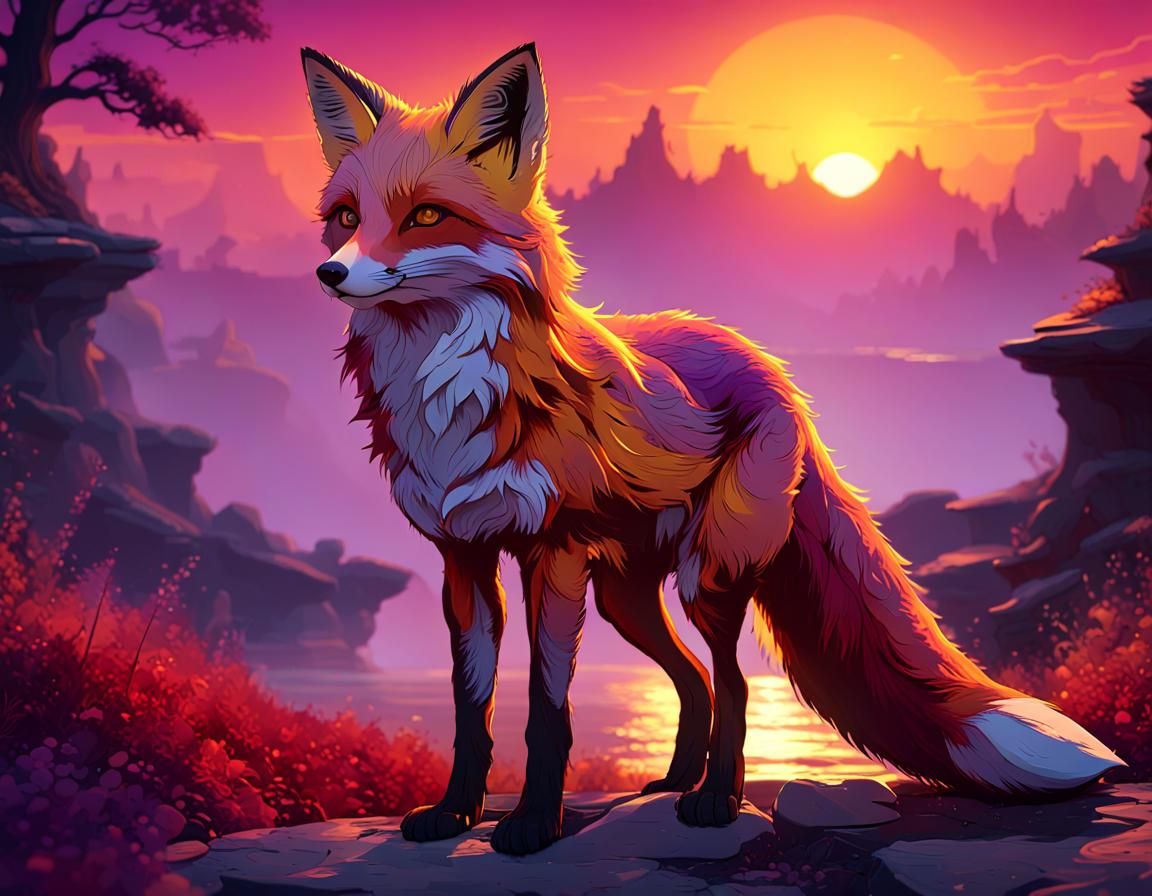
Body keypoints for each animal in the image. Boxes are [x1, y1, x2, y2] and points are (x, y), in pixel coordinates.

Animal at [300, 43, 1124, 855]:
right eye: (346, 217)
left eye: (426, 215)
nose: (329, 273)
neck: (448, 400)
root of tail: (771, 366)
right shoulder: (462, 558)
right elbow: (471, 708)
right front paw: (454, 814)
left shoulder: (552, 554)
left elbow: (546, 710)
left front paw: (533, 824)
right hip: (626, 595)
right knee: (693, 677)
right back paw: (670, 782)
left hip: (708, 575)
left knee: (733, 683)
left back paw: (716, 800)